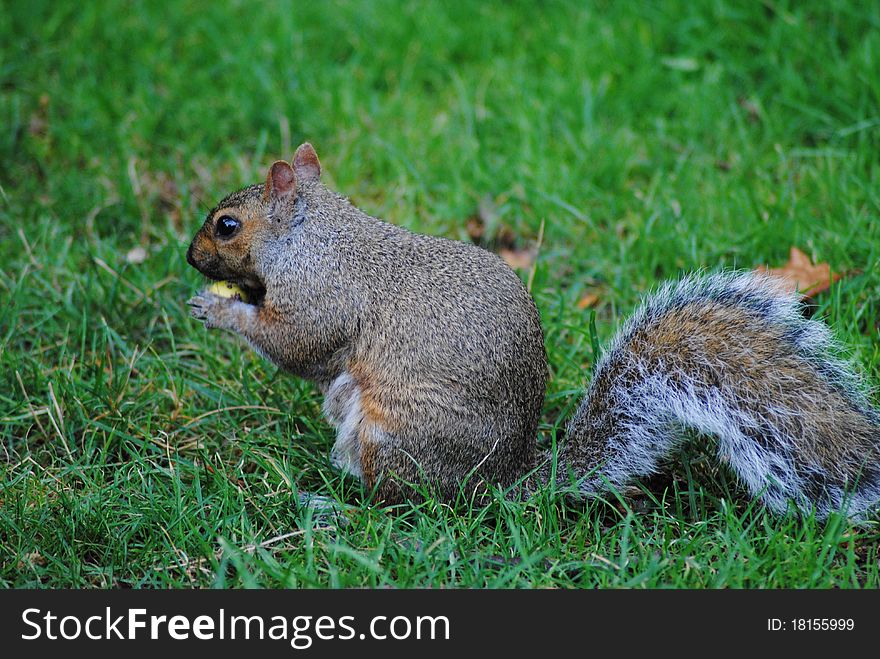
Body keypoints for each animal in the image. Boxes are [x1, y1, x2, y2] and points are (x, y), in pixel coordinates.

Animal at [187, 143, 880, 520]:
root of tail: (498, 481)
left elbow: (297, 345)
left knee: (403, 506)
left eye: (227, 225)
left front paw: (219, 310)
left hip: (392, 433)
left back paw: (333, 505)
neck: (313, 236)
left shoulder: (324, 297)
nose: (191, 257)